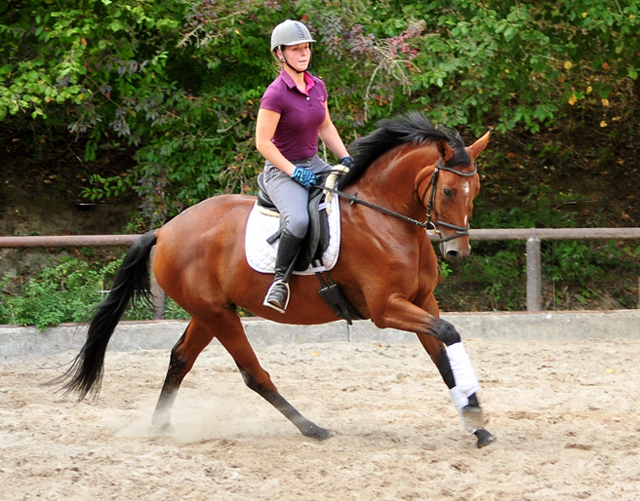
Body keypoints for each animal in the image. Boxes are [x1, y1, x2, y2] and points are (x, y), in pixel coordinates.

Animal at [56, 114, 496, 450]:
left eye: (475, 190)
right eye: (449, 190)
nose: (457, 252)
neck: (384, 215)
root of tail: (165, 231)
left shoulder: (422, 301)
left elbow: (443, 355)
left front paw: (476, 423)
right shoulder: (386, 308)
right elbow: (449, 334)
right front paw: (474, 412)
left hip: (209, 313)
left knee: (181, 358)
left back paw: (161, 425)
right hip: (219, 316)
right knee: (253, 374)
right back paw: (312, 428)